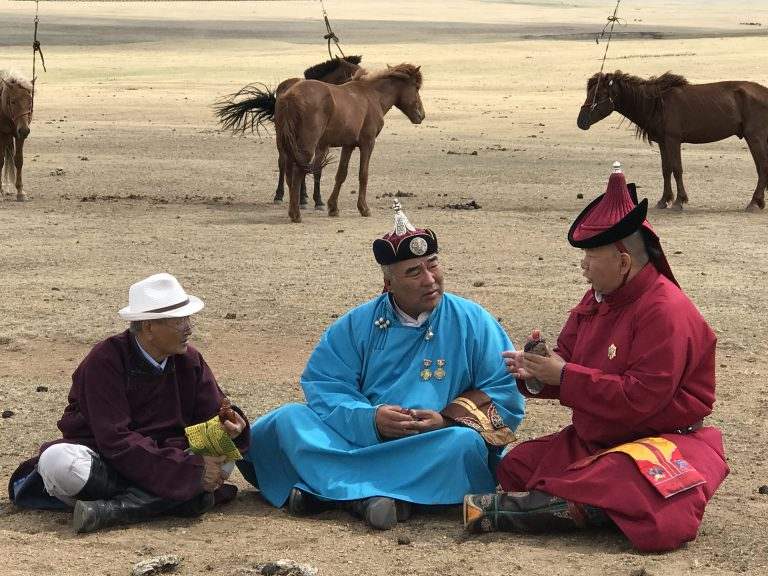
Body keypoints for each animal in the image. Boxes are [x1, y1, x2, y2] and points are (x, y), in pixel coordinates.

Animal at [0, 70, 33, 202]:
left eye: (30, 101)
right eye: (13, 101)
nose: (24, 129)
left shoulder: (19, 136)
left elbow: (19, 160)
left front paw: (20, 192)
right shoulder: (2, 134)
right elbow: (0, 161)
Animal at [213, 55, 364, 209]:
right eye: (353, 75)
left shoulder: (322, 145)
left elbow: (317, 170)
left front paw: (317, 200)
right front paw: (308, 199)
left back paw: (302, 196)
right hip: (282, 139)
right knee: (283, 162)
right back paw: (280, 195)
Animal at [274, 63, 426, 223]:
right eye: (416, 87)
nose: (421, 115)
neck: (373, 96)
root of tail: (290, 95)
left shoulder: (348, 145)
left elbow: (341, 174)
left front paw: (333, 207)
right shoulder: (368, 144)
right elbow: (363, 175)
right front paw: (363, 208)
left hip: (288, 147)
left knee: (289, 173)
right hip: (306, 148)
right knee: (297, 173)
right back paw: (296, 213)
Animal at [576, 70, 768, 212]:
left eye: (598, 95)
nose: (581, 122)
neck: (657, 103)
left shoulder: (673, 140)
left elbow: (676, 169)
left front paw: (679, 201)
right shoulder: (663, 142)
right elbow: (666, 169)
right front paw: (664, 200)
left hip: (755, 137)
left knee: (762, 167)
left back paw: (754, 202)